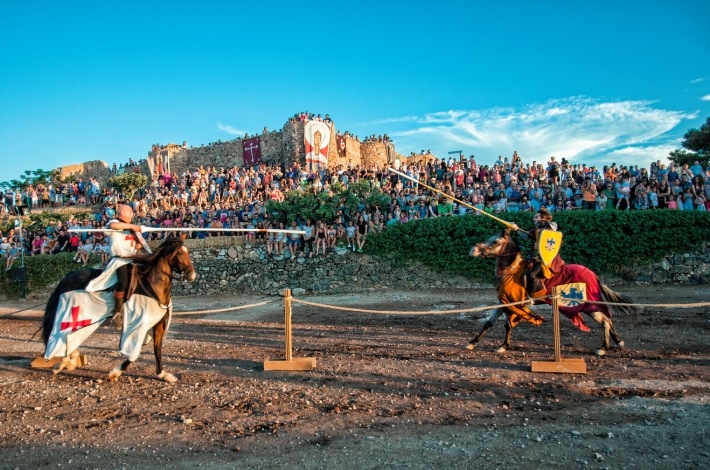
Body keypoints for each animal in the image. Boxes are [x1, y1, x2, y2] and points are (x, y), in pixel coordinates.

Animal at [42, 237, 196, 384]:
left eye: (187, 251)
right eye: (180, 253)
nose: (192, 275)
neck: (152, 286)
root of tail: (68, 277)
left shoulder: (158, 324)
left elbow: (157, 349)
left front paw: (163, 374)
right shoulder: (137, 327)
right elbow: (133, 354)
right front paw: (114, 373)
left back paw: (69, 360)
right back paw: (64, 361)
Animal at [470, 229, 636, 354]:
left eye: (495, 242)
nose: (473, 250)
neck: (511, 270)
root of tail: (593, 275)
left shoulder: (510, 303)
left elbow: (507, 325)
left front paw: (503, 346)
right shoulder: (502, 302)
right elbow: (489, 323)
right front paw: (472, 342)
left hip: (588, 306)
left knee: (605, 321)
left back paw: (603, 347)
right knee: (608, 319)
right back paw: (617, 342)